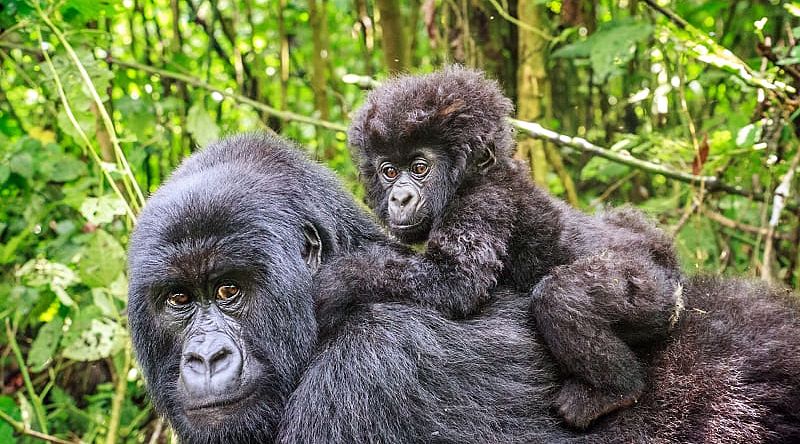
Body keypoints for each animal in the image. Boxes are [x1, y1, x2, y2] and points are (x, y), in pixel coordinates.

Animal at [316, 64, 684, 428]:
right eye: (389, 172)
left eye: (420, 168)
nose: (399, 198)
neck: (474, 176)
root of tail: (664, 258)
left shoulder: (482, 201)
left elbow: (457, 281)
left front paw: (336, 282)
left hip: (653, 289)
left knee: (562, 295)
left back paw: (615, 391)